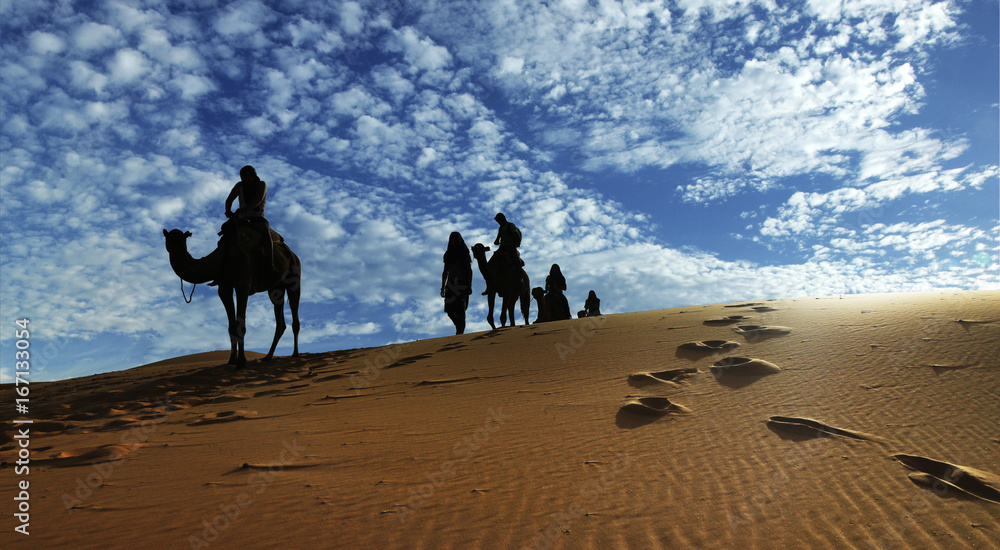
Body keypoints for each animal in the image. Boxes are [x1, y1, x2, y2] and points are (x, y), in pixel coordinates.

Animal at [160, 224, 298, 370]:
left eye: (180, 239)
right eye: (169, 238)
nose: (174, 248)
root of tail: (292, 253)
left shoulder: (243, 286)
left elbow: (241, 325)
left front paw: (242, 362)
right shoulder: (224, 287)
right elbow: (232, 326)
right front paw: (232, 360)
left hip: (294, 274)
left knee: (294, 308)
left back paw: (295, 354)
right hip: (276, 287)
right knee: (279, 314)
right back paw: (268, 357)